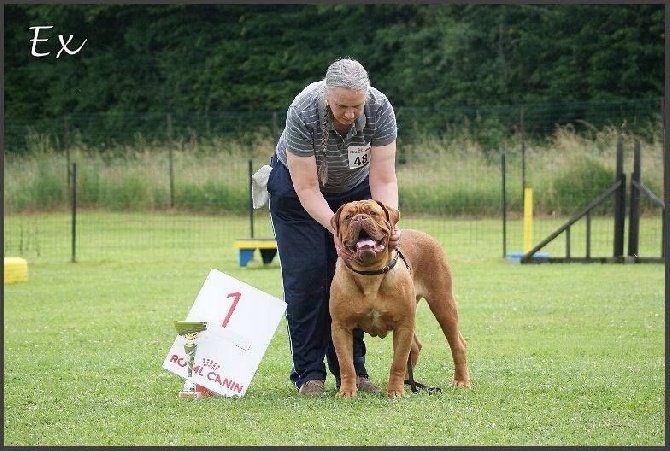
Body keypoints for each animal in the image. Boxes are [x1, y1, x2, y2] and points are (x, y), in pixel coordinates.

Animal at [330, 200, 468, 398]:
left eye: (373, 213)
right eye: (348, 217)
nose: (360, 218)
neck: (370, 273)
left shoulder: (403, 324)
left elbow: (398, 362)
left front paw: (395, 391)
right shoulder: (341, 327)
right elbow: (346, 364)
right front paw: (347, 391)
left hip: (443, 304)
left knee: (457, 344)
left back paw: (461, 381)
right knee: (416, 346)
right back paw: (409, 381)